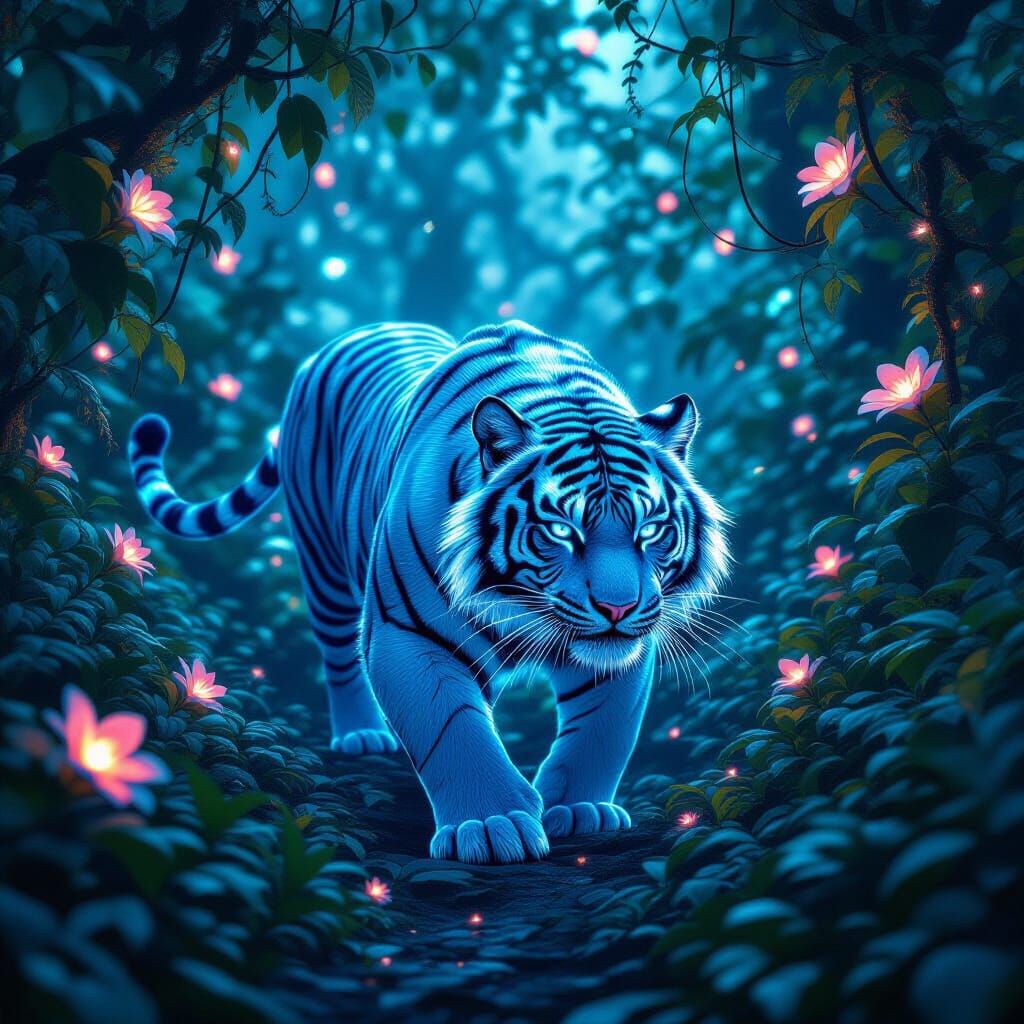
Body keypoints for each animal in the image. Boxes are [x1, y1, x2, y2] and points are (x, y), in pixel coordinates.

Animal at [130, 320, 730, 864]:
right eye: (562, 529)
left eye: (650, 528)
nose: (617, 607)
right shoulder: (407, 635)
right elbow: (453, 728)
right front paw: (489, 825)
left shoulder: (620, 653)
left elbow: (602, 730)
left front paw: (578, 810)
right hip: (323, 564)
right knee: (338, 655)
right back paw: (362, 736)